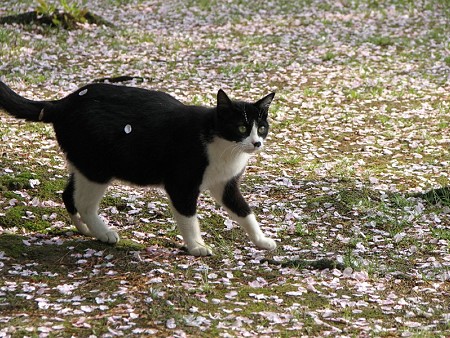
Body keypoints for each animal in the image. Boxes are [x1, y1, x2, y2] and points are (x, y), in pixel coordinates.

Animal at [0, 82, 276, 256]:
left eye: (261, 128)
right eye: (242, 128)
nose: (257, 143)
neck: (222, 145)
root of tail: (63, 102)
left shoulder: (225, 184)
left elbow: (244, 211)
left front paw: (261, 240)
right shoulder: (181, 185)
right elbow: (189, 218)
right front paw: (196, 246)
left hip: (84, 164)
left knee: (68, 195)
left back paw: (86, 230)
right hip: (98, 168)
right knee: (84, 203)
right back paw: (103, 233)